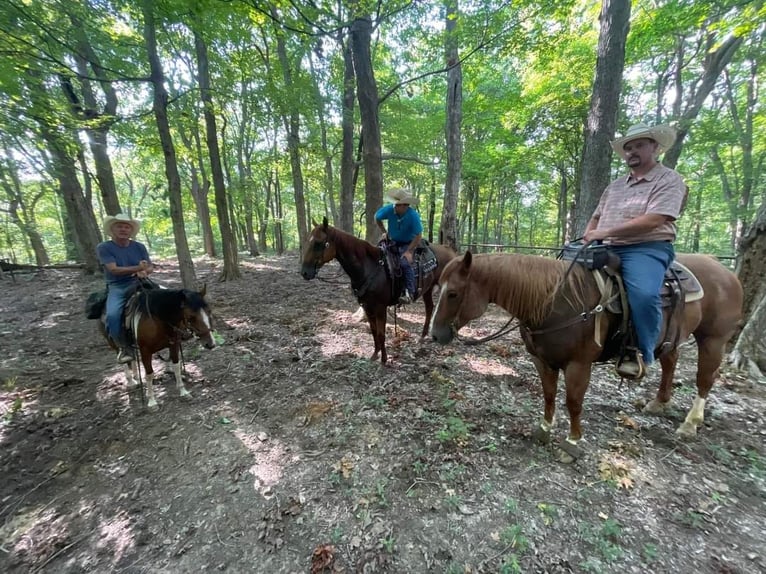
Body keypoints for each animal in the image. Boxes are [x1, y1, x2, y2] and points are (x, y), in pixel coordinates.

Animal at [300, 217, 456, 364]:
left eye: (318, 243)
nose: (305, 272)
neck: (369, 267)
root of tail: (451, 251)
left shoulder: (380, 308)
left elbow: (381, 333)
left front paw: (384, 359)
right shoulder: (367, 307)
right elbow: (374, 332)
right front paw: (375, 354)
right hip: (428, 289)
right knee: (429, 308)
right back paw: (423, 336)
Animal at [432, 252, 744, 460]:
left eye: (453, 293)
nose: (435, 334)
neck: (554, 303)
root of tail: (728, 273)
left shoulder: (578, 365)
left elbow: (573, 402)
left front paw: (572, 443)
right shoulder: (542, 360)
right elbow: (548, 394)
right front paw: (544, 429)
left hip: (713, 340)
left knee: (705, 378)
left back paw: (690, 424)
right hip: (673, 339)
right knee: (670, 363)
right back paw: (659, 403)